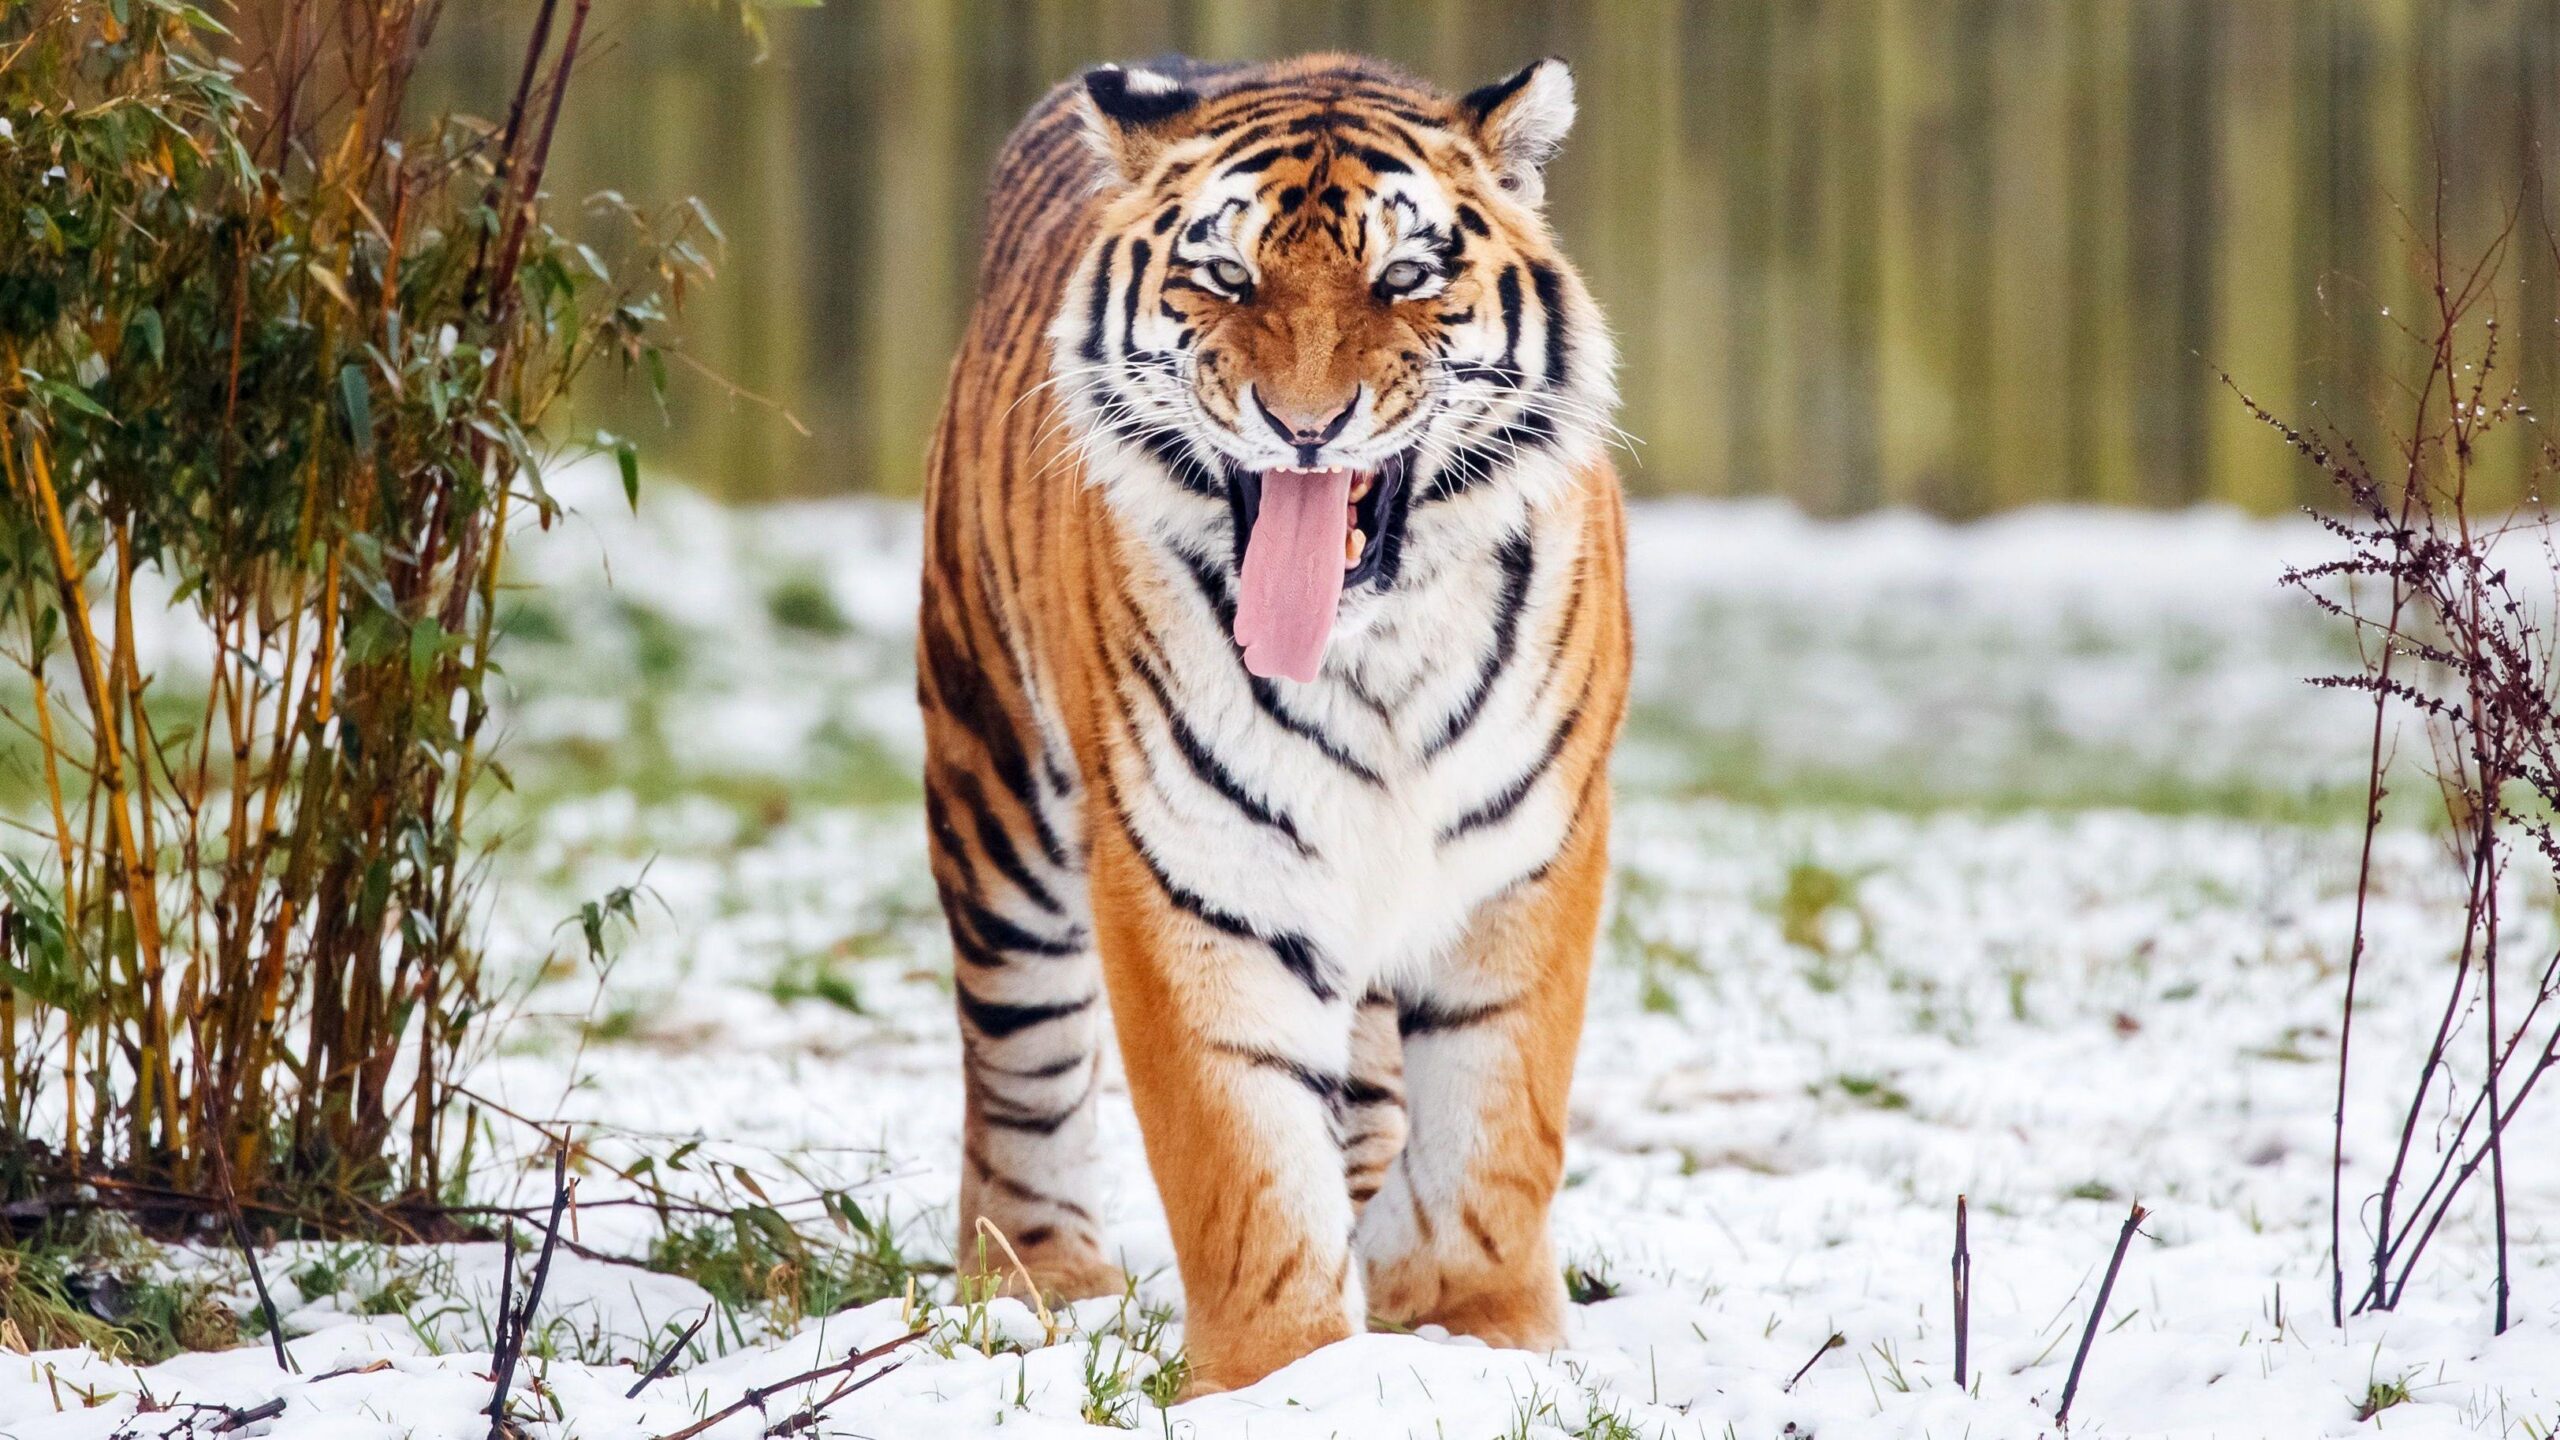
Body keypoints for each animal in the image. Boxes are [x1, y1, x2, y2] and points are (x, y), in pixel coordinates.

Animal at [917, 51, 1629, 1394]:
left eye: (1404, 278)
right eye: (1225, 276)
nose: (1306, 425)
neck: (1374, 651)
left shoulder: (1527, 856)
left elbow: (1495, 1126)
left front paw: (1480, 1330)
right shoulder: (1195, 874)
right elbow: (1242, 1160)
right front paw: (1284, 1378)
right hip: (995, 788)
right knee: (1019, 1057)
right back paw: (1041, 1276)